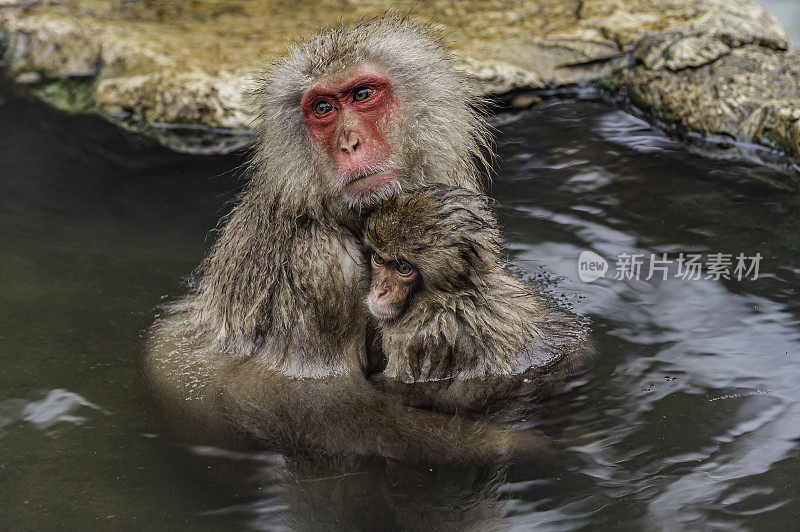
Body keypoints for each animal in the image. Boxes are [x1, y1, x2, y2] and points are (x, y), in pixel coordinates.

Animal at [144, 17, 544, 462]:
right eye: (323, 109)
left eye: (362, 95)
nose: (349, 143)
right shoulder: (322, 266)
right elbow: (317, 399)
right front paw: (515, 445)